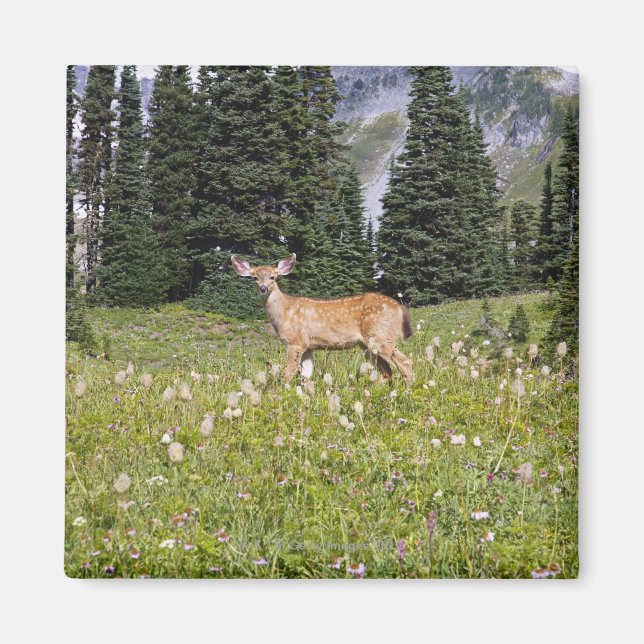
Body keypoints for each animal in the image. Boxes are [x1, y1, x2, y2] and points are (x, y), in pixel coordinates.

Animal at [231, 253, 414, 383]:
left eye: (273, 277)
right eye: (254, 277)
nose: (263, 288)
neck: (284, 312)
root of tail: (400, 308)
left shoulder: (295, 341)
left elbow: (288, 372)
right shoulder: (308, 346)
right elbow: (306, 375)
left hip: (380, 335)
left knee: (405, 363)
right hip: (368, 344)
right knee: (387, 370)